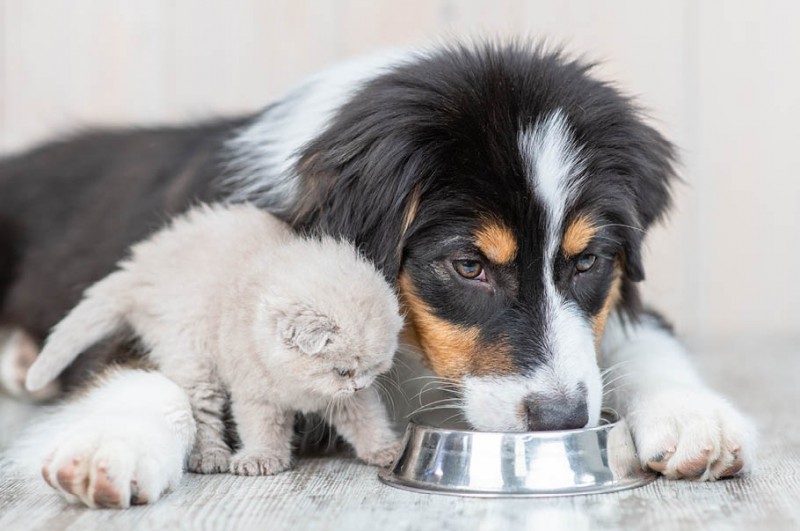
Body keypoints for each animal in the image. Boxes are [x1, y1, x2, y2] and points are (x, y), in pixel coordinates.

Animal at [27, 205, 404, 478]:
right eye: (342, 371)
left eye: (373, 370)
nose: (357, 385)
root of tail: (140, 268)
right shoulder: (255, 394)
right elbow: (262, 429)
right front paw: (261, 458)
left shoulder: (346, 401)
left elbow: (368, 421)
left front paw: (386, 450)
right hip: (192, 356)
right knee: (202, 412)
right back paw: (210, 455)